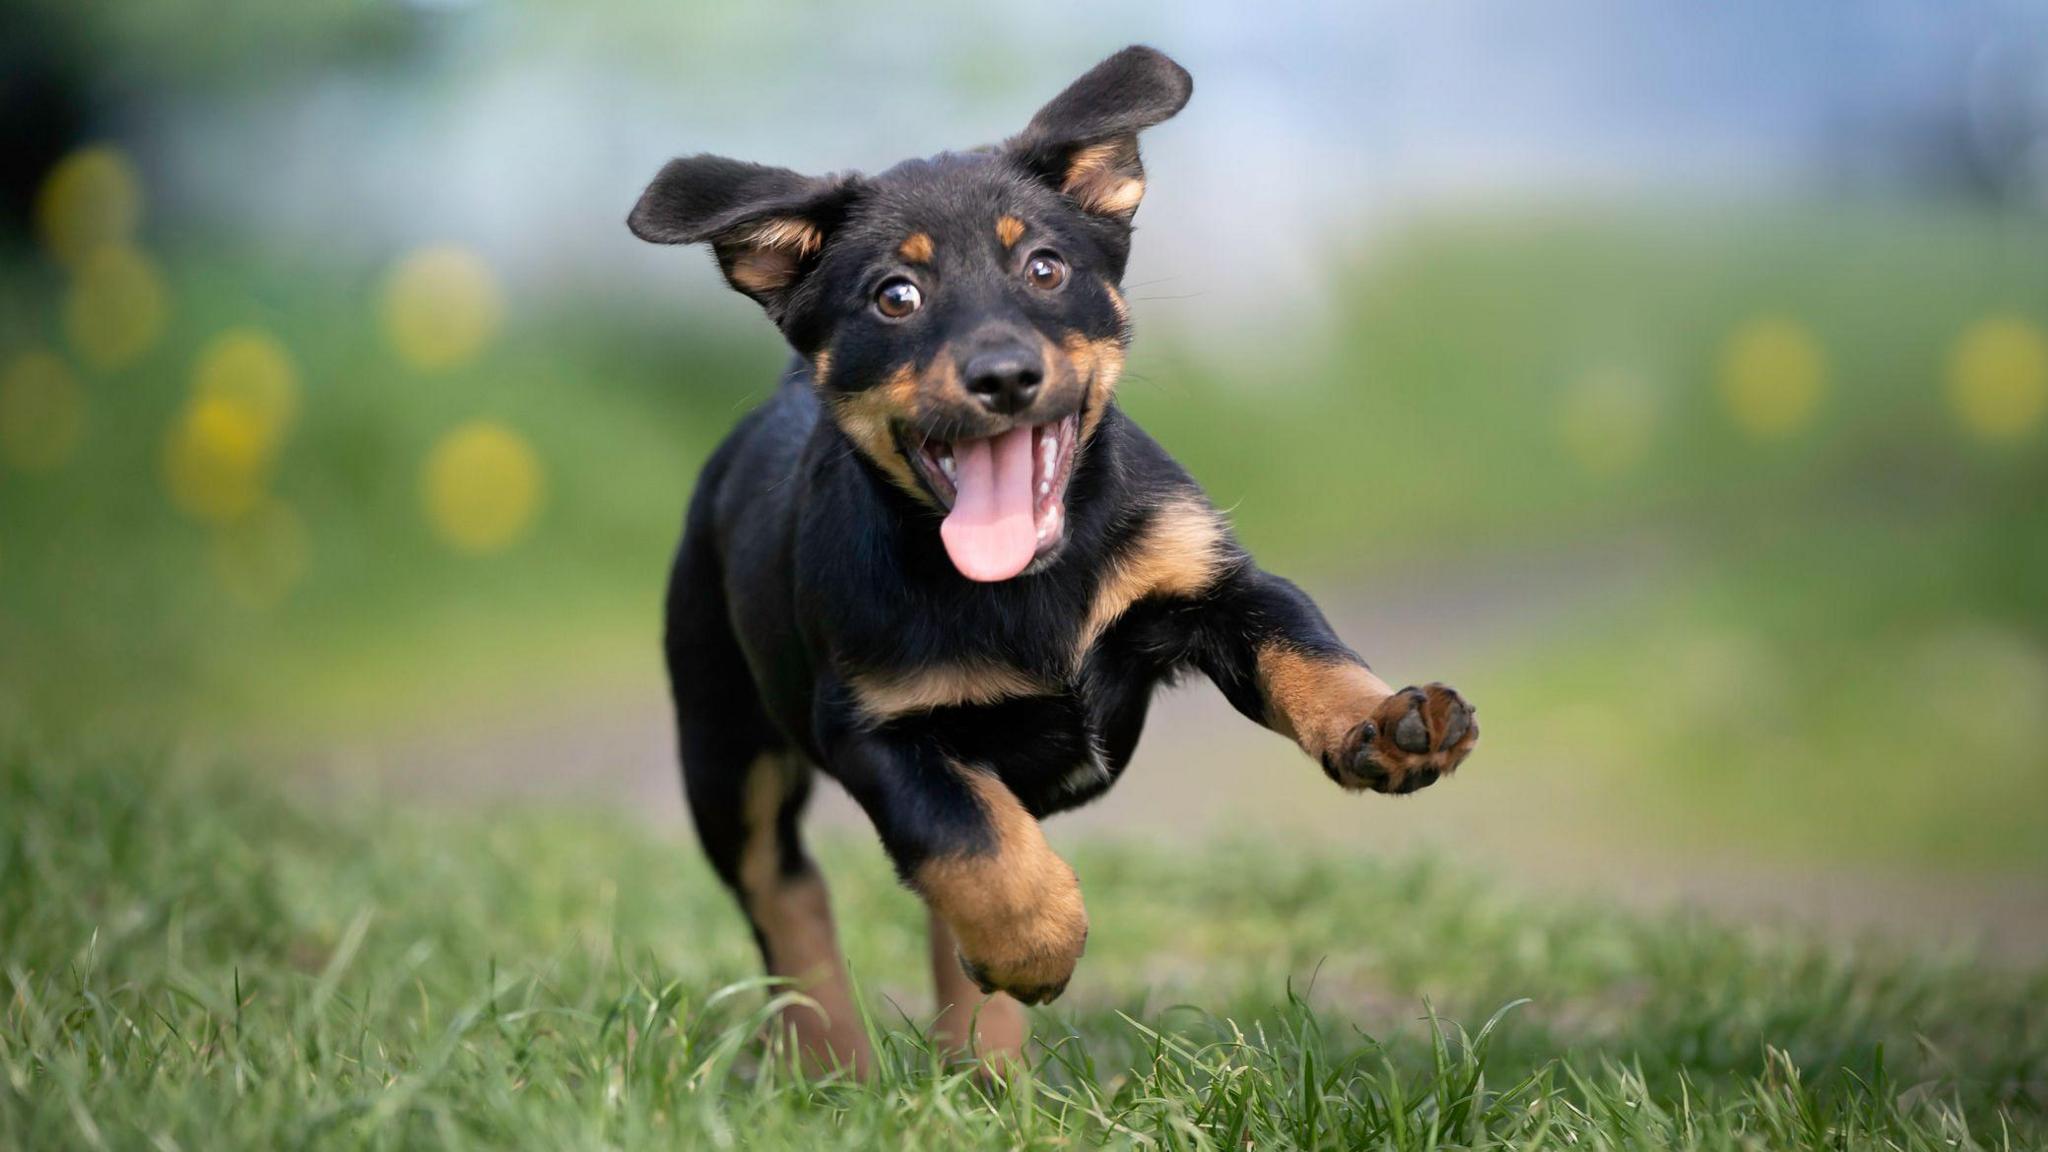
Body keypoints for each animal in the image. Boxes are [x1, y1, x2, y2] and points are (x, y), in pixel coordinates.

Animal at [622, 42, 1474, 1065]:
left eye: (1044, 267)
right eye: (895, 296)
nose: (1003, 376)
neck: (1028, 580)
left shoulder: (1222, 589)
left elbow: (1306, 654)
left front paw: (1385, 723)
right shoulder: (874, 725)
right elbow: (967, 838)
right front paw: (1037, 942)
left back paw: (982, 1069)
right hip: (722, 742)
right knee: (784, 893)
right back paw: (836, 1058)